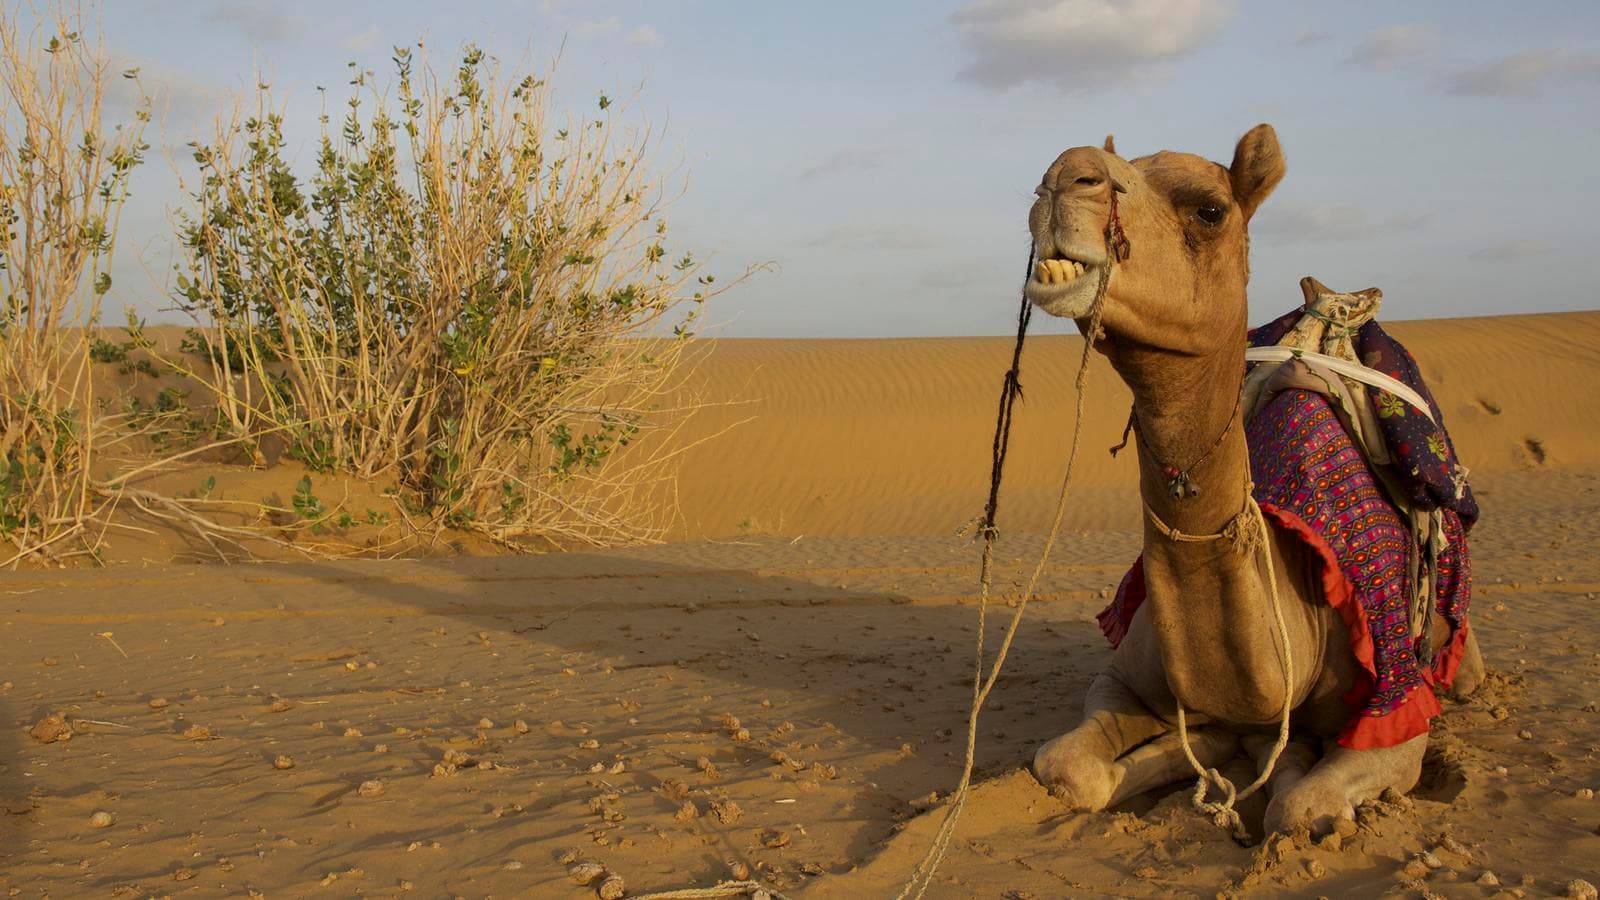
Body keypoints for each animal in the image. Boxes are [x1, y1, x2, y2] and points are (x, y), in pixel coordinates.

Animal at [1023, 124, 1484, 837]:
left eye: (1210, 209)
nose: (1061, 178)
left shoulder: (1395, 712)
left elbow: (1298, 809)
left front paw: (1273, 774)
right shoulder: (1125, 677)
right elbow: (1067, 767)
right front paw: (1217, 750)